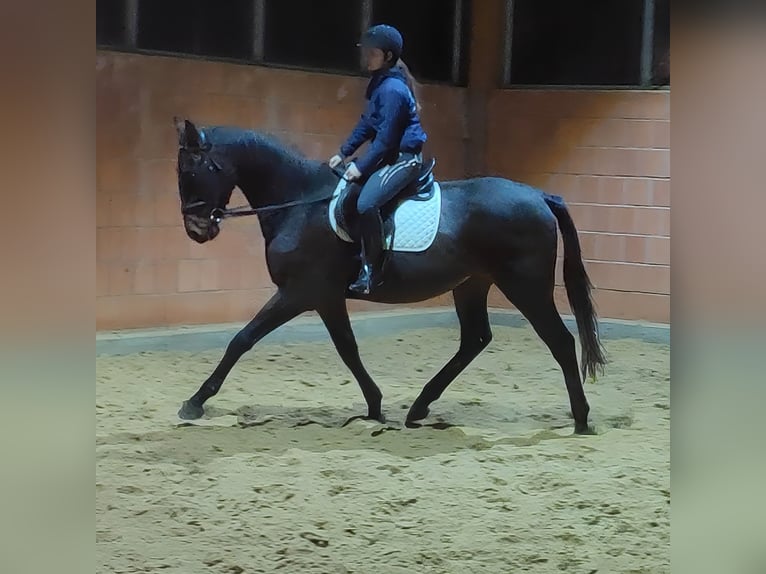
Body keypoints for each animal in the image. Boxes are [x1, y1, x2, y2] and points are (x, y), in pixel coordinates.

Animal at [173, 117, 606, 434]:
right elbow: (348, 349)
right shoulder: (326, 297)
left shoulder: (300, 293)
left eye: (190, 169)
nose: (196, 230)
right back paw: (419, 408)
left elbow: (242, 340)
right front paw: (375, 406)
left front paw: (194, 403)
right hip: (472, 285)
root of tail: (540, 196)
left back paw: (582, 419)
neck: (300, 201)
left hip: (525, 286)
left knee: (560, 341)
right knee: (475, 340)